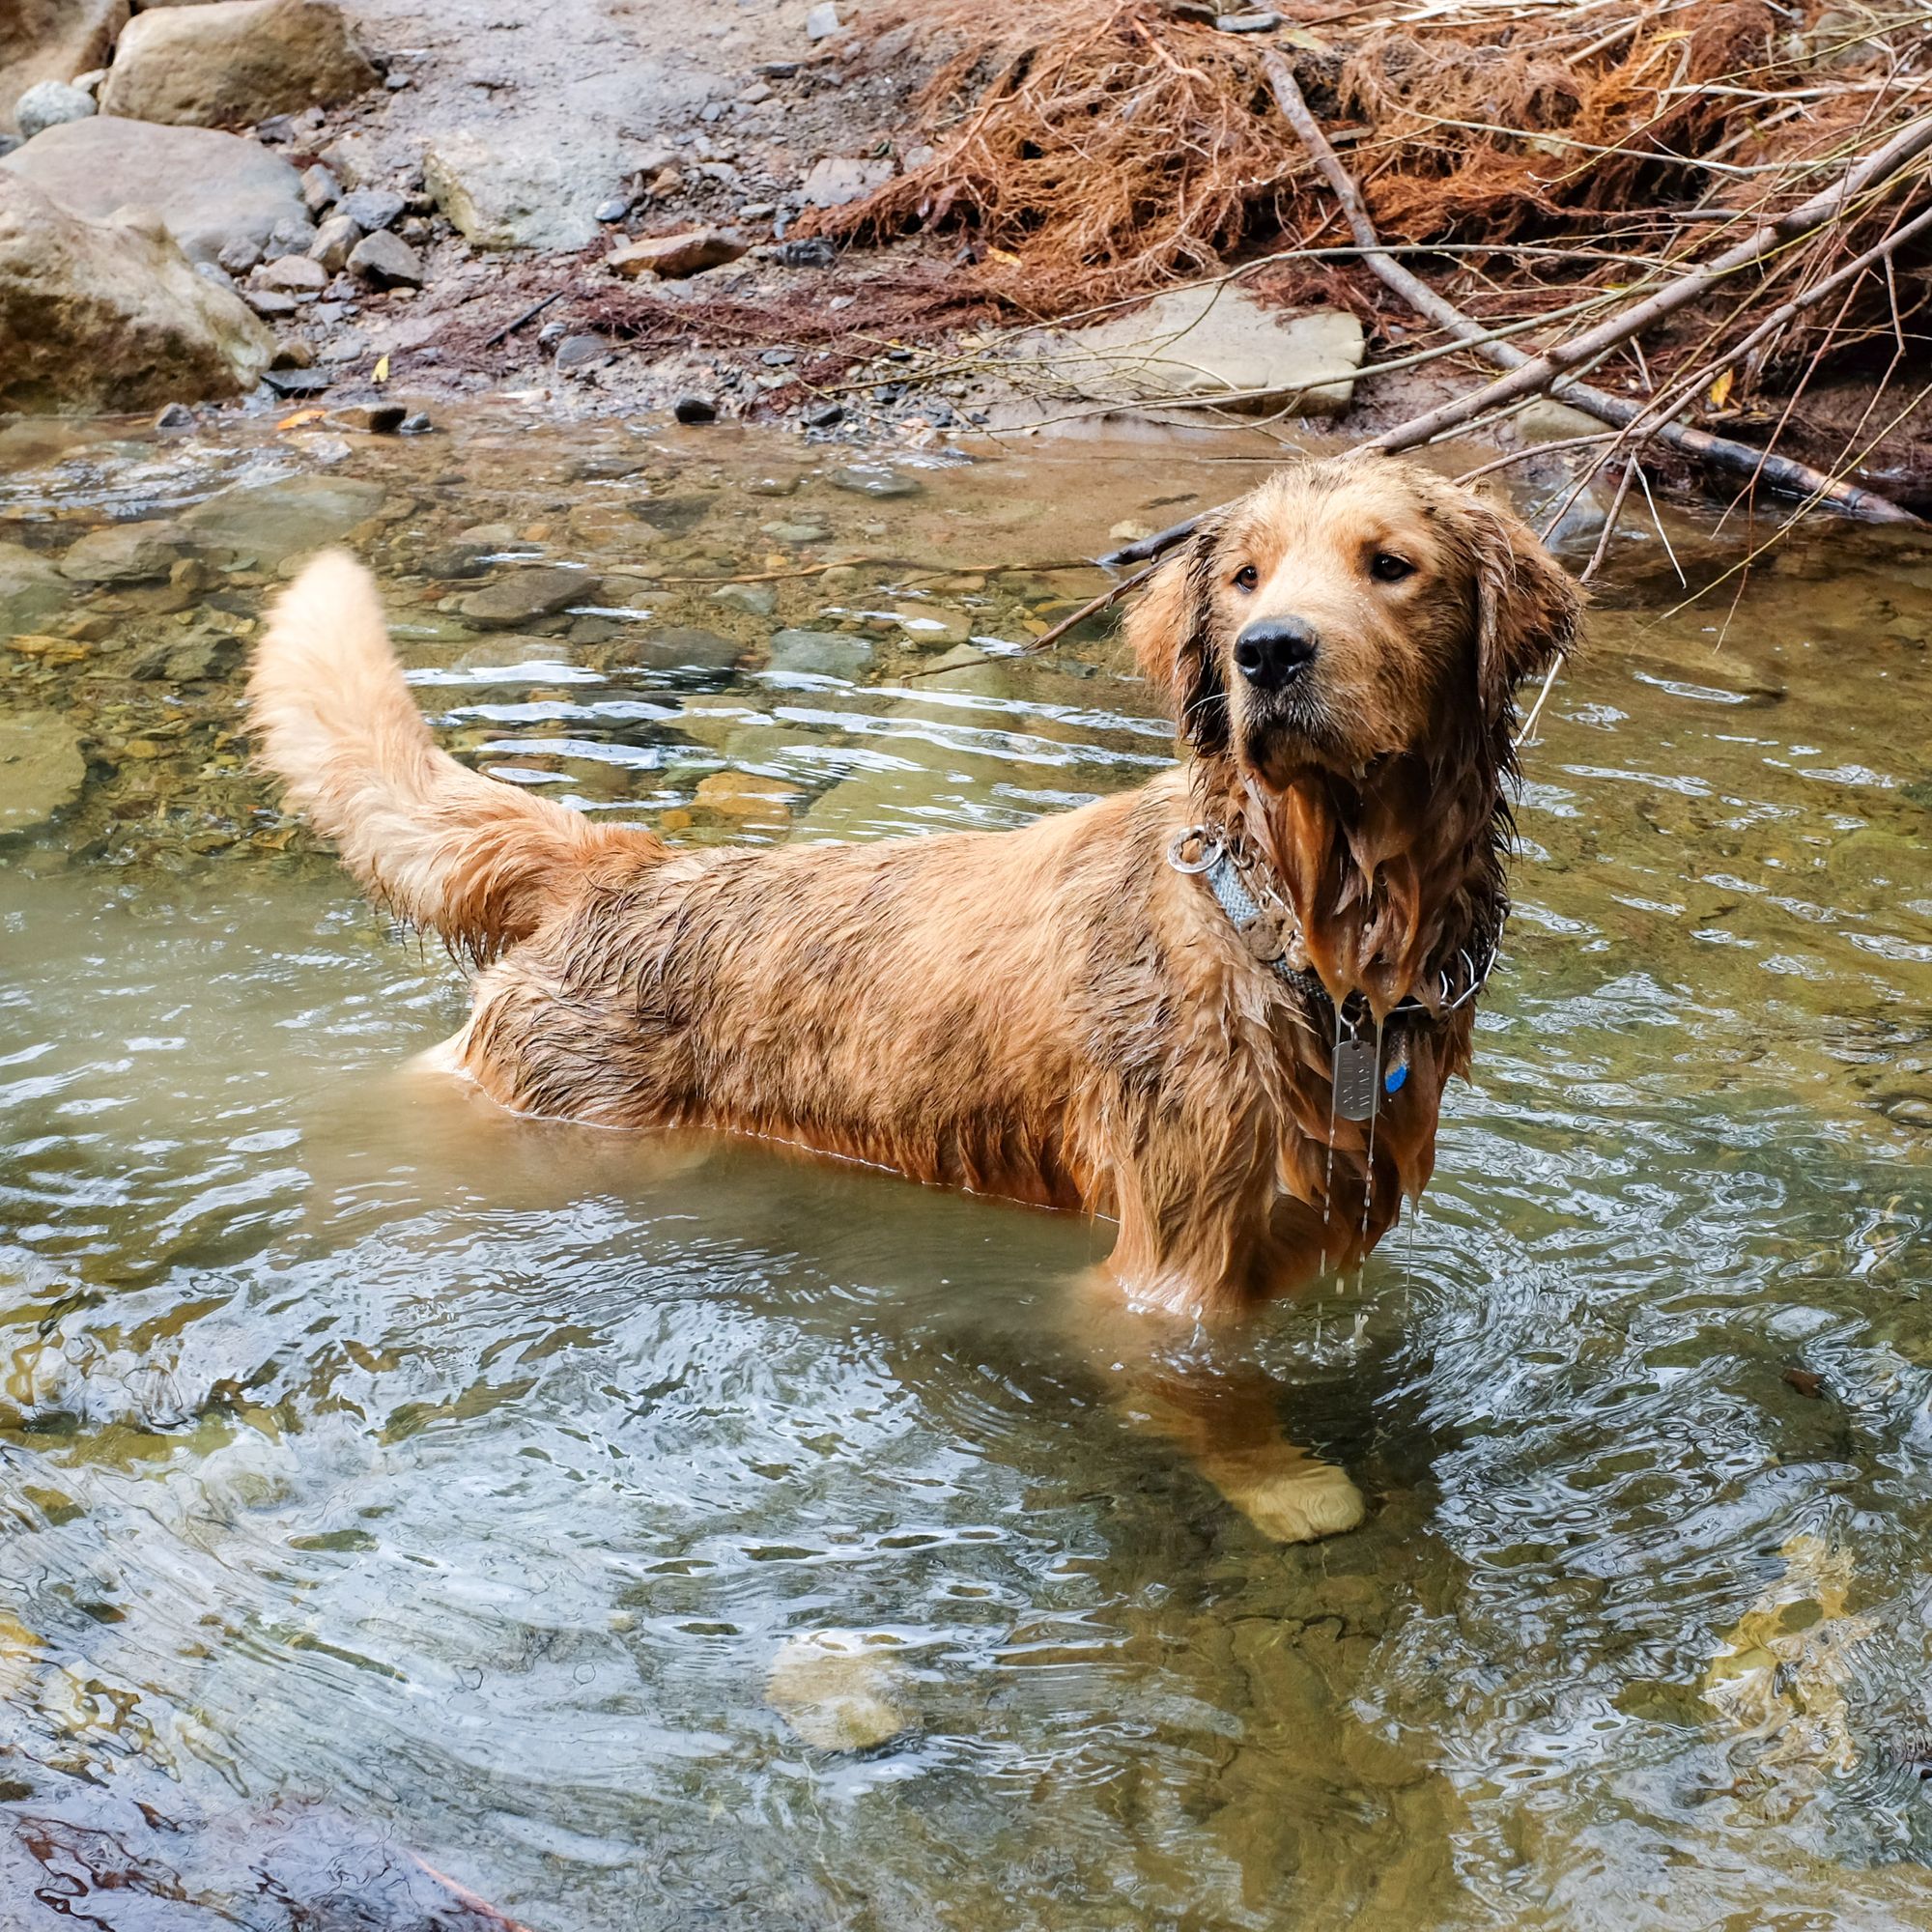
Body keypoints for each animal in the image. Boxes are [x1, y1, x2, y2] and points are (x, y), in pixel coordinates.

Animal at [253, 452, 1584, 1538]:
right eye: (1245, 580)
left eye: (1390, 565)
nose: (1269, 651)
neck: (1300, 922)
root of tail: (621, 861)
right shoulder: (1167, 1272)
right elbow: (1217, 1401)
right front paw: (1286, 1485)